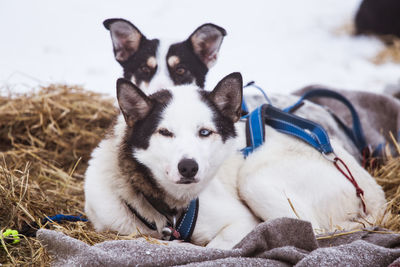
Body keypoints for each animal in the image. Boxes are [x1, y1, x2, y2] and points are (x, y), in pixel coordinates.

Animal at [85, 73, 388, 249]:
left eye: (204, 132)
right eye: (165, 132)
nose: (188, 167)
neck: (169, 211)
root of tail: (374, 193)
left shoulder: (242, 222)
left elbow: (213, 248)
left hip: (255, 179)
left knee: (312, 230)